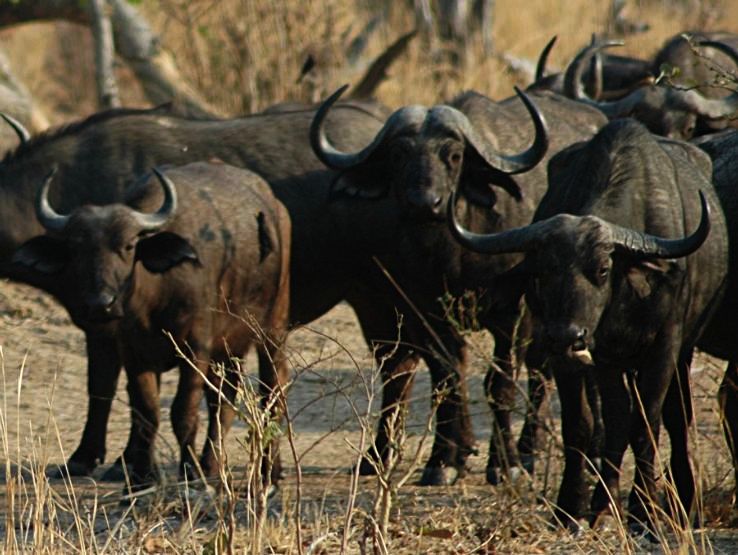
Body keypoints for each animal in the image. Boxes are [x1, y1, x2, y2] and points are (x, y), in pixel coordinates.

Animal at [450, 118, 728, 532]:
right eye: (543, 271)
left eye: (602, 269)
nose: (568, 335)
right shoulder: (594, 358)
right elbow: (591, 425)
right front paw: (577, 506)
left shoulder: (664, 347)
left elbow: (647, 424)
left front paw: (643, 513)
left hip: (683, 351)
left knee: (677, 419)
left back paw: (684, 503)